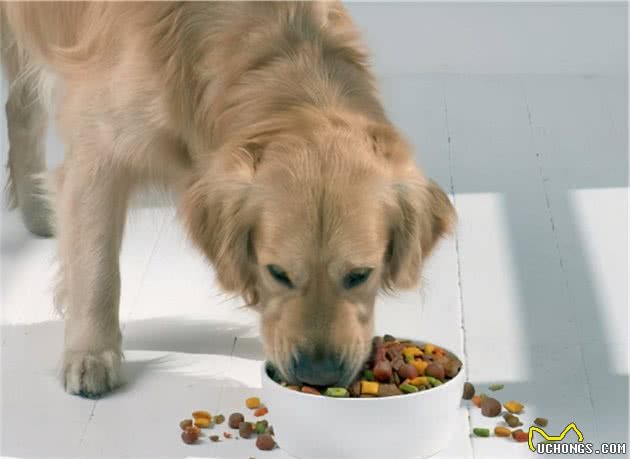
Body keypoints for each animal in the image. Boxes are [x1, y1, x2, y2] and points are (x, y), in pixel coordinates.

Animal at [0, 1, 454, 398]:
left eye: (360, 275)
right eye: (277, 273)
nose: (318, 374)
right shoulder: (100, 151)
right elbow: (97, 269)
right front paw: (91, 354)